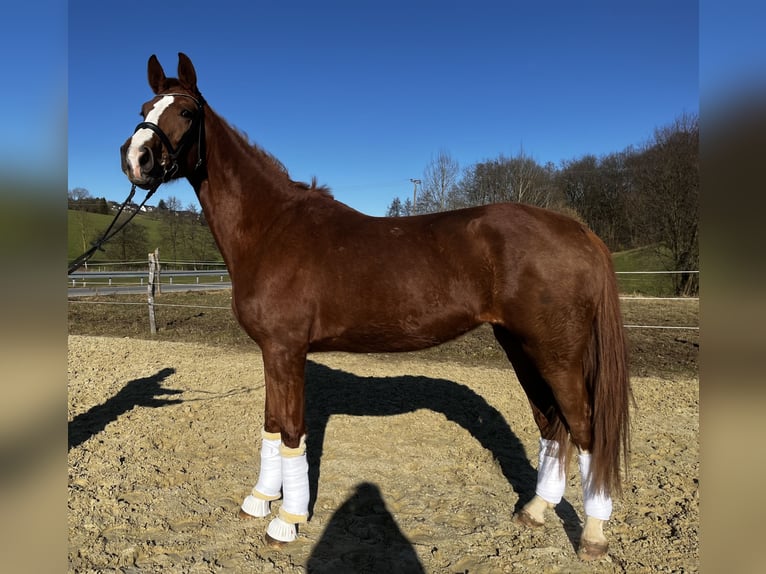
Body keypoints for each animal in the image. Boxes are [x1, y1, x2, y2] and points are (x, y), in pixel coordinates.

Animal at [120, 51, 632, 560]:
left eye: (187, 112)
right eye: (144, 106)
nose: (134, 158)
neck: (272, 229)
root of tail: (577, 230)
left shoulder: (287, 349)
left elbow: (292, 431)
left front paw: (288, 520)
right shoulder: (271, 351)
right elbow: (271, 425)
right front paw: (260, 500)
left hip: (557, 354)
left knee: (584, 429)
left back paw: (592, 535)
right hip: (522, 347)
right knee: (552, 425)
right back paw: (535, 511)